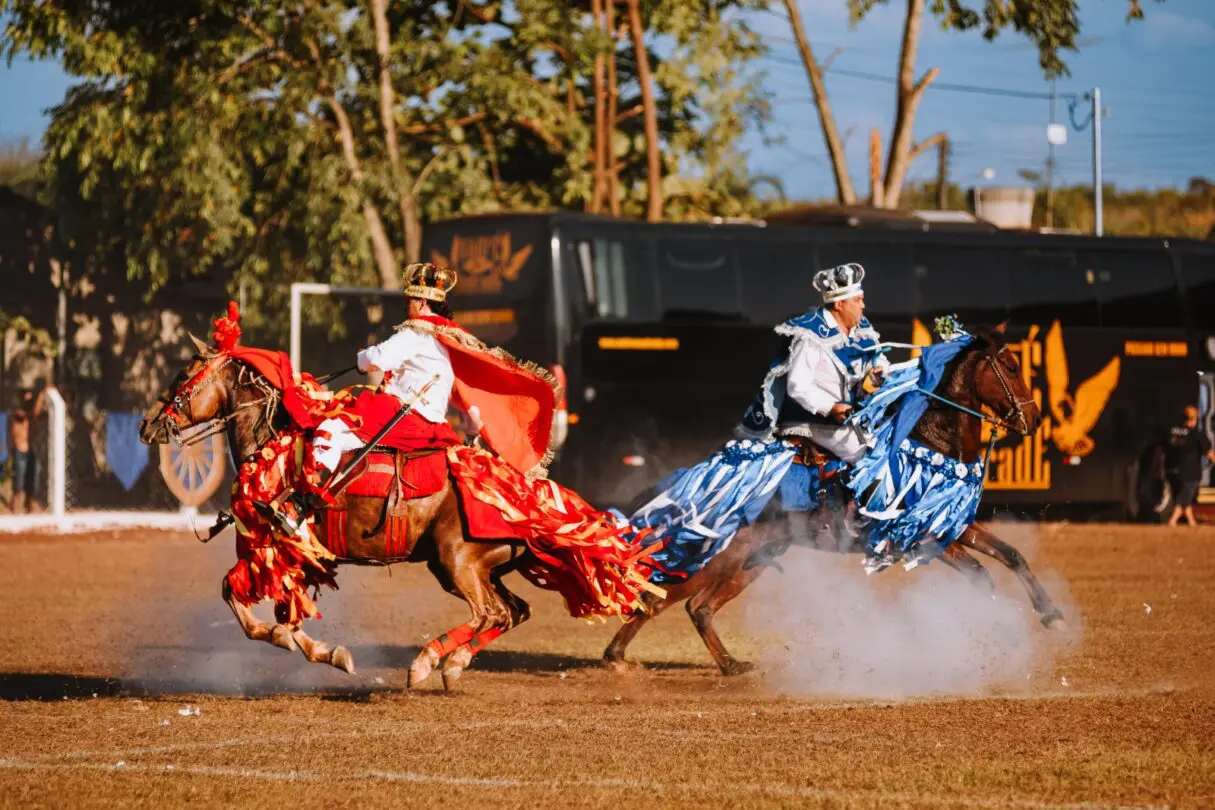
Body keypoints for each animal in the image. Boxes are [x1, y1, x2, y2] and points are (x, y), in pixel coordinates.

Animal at [135, 344, 539, 689]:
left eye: (184, 374)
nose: (146, 423)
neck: (272, 447)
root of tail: (518, 495)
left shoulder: (275, 548)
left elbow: (245, 599)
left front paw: (296, 643)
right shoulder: (290, 557)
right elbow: (276, 607)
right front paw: (324, 651)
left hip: (455, 562)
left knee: (489, 613)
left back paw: (426, 662)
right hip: (477, 569)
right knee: (513, 611)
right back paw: (453, 664)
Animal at [605, 325, 1064, 675]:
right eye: (1010, 367)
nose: (1034, 417)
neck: (927, 444)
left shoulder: (954, 526)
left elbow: (1011, 555)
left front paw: (1050, 613)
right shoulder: (922, 537)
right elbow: (981, 575)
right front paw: (998, 627)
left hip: (754, 560)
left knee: (697, 607)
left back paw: (729, 664)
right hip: (721, 556)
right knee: (664, 598)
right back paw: (619, 658)